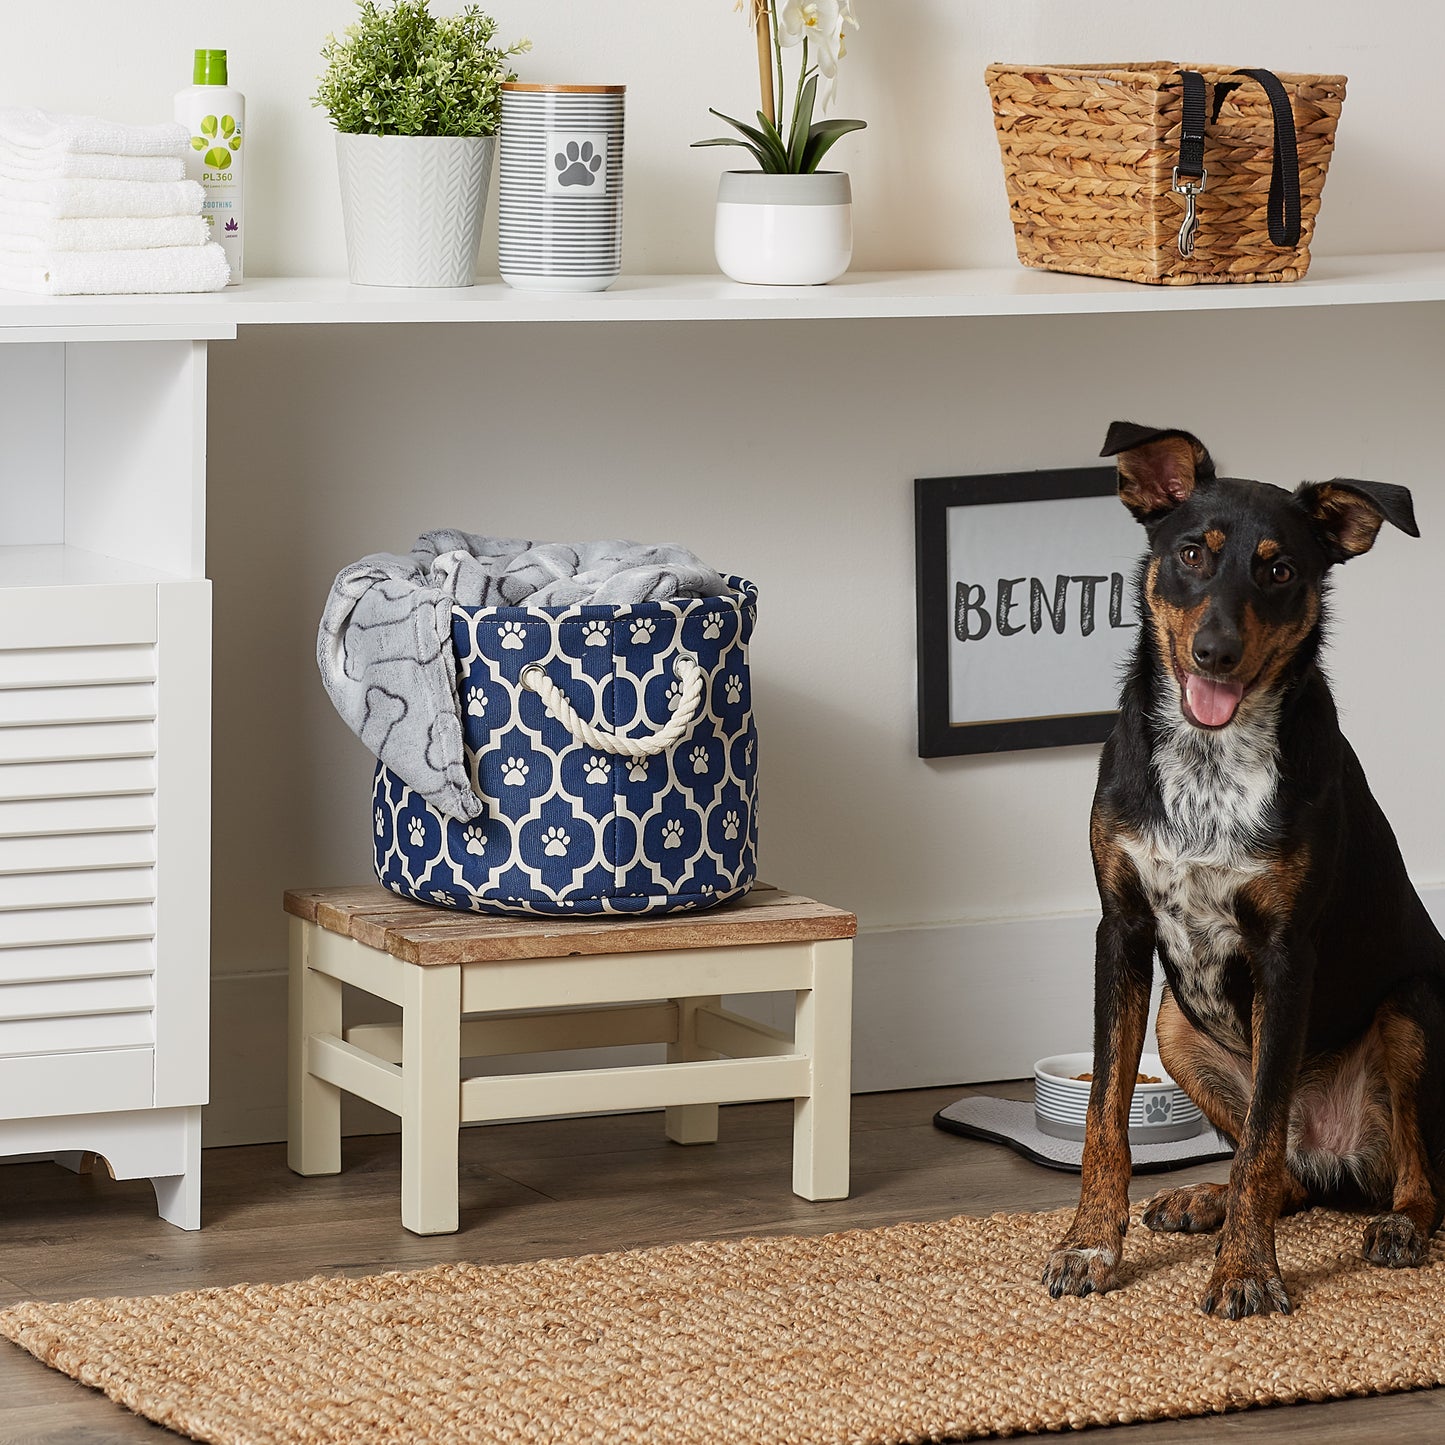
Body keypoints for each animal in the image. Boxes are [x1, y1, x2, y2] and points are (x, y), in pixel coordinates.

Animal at [1046, 421, 1439, 1323]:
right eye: (1192, 552)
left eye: (1278, 569)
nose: (1214, 651)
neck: (1209, 760)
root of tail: (1342, 1158)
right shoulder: (1120, 930)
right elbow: (1103, 1116)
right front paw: (1090, 1244)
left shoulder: (1284, 953)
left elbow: (1259, 1137)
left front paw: (1247, 1271)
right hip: (1175, 1022)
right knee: (1292, 1176)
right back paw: (1204, 1199)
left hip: (1411, 1011)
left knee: (1411, 1179)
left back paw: (1395, 1225)